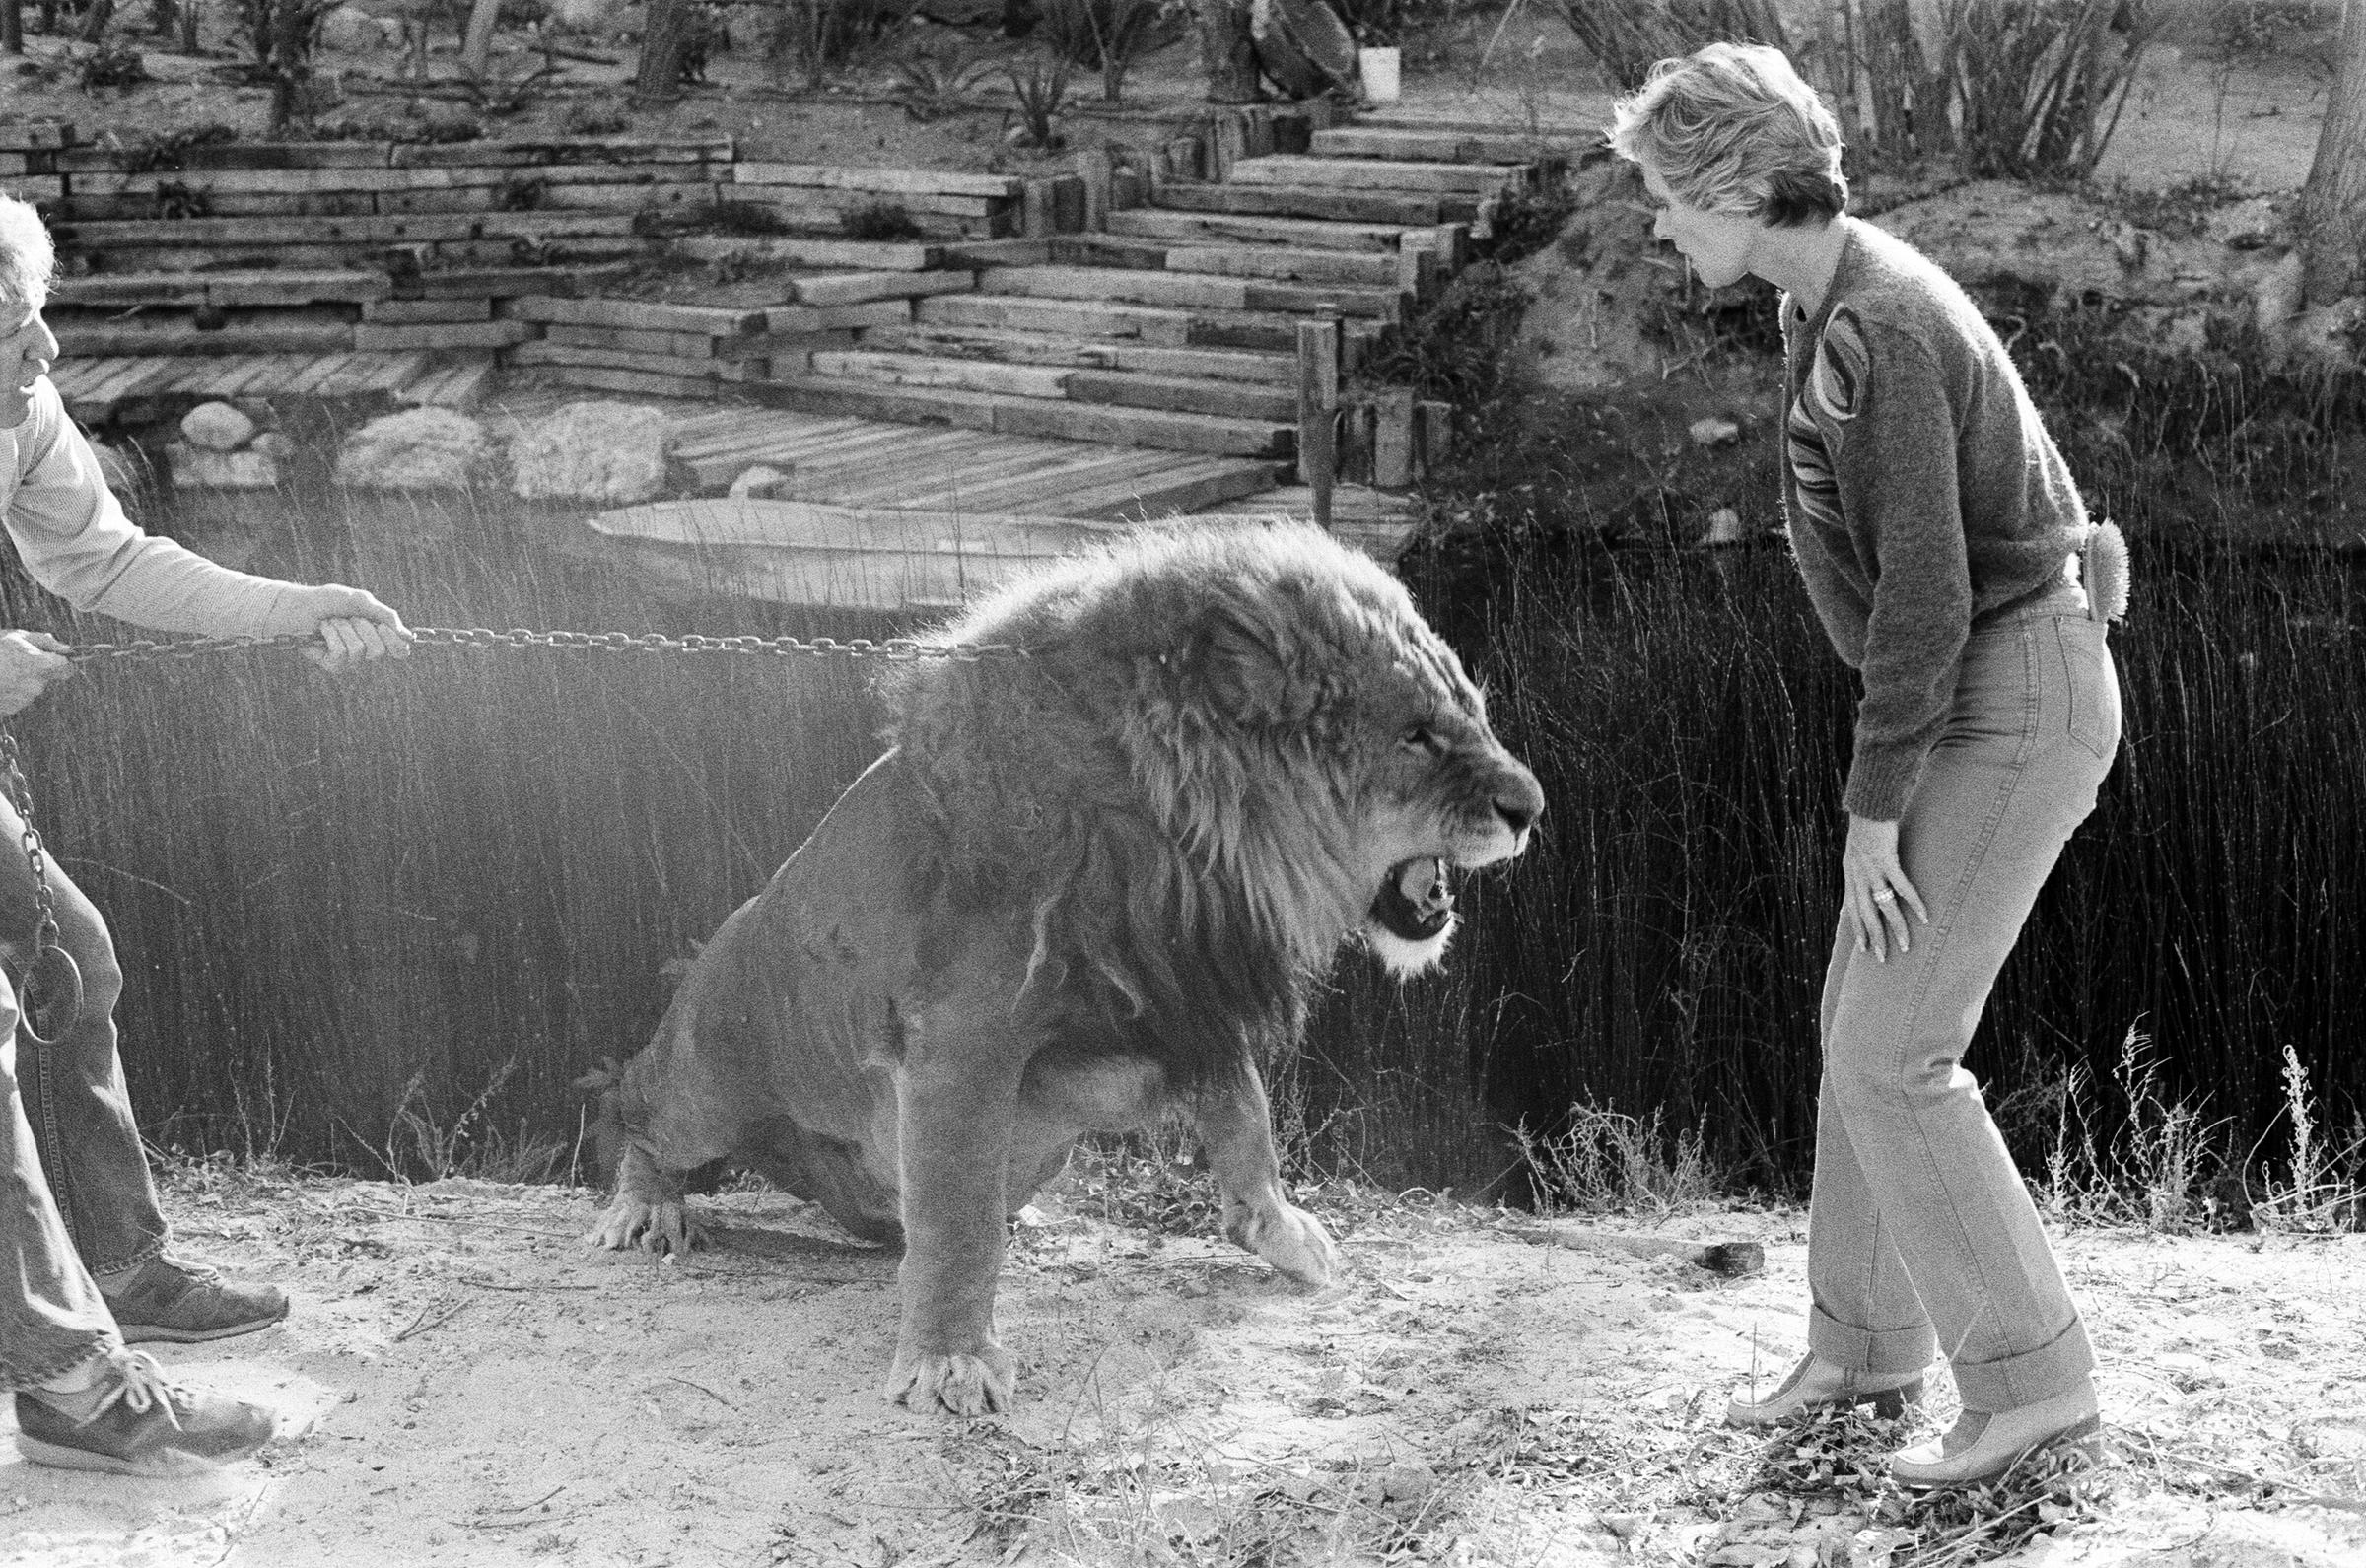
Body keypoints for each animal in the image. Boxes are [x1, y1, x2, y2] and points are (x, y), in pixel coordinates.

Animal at [582, 519, 1542, 1418]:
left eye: (1473, 711)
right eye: (1415, 734)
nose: (1530, 807)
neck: (1183, 844)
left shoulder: (1187, 993)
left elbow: (1246, 1118)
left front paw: (1280, 1230)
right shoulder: (964, 1042)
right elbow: (961, 1220)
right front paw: (951, 1360)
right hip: (711, 1072)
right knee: (640, 1104)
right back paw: (645, 1206)